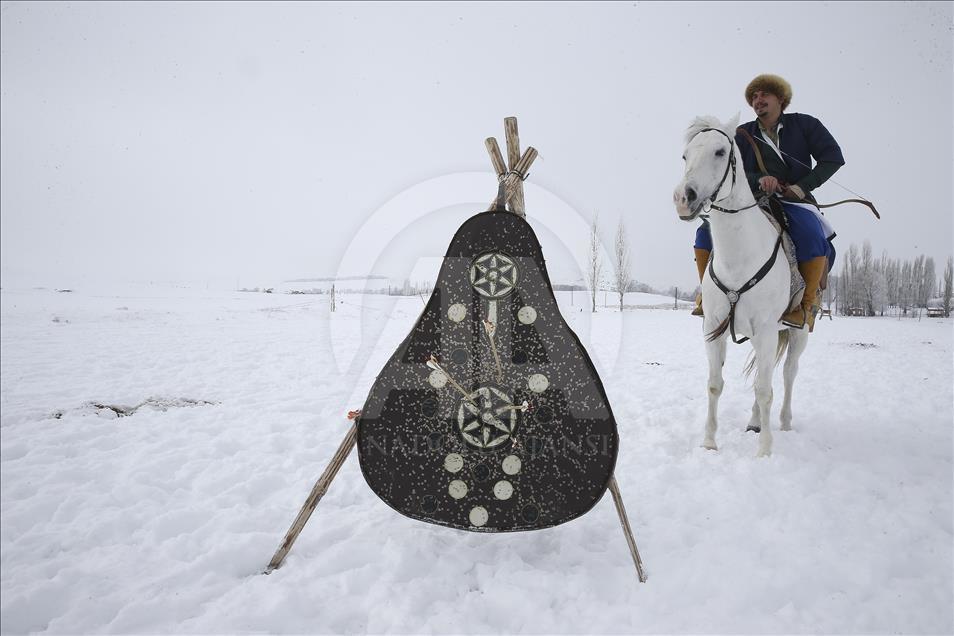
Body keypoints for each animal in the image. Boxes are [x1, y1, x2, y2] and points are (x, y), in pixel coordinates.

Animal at [668, 115, 812, 458]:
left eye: (721, 152)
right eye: (685, 155)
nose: (683, 198)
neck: (740, 257)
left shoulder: (767, 330)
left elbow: (765, 389)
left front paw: (765, 452)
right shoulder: (713, 327)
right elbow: (715, 384)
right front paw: (709, 443)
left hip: (797, 332)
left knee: (787, 374)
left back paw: (784, 423)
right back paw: (755, 422)